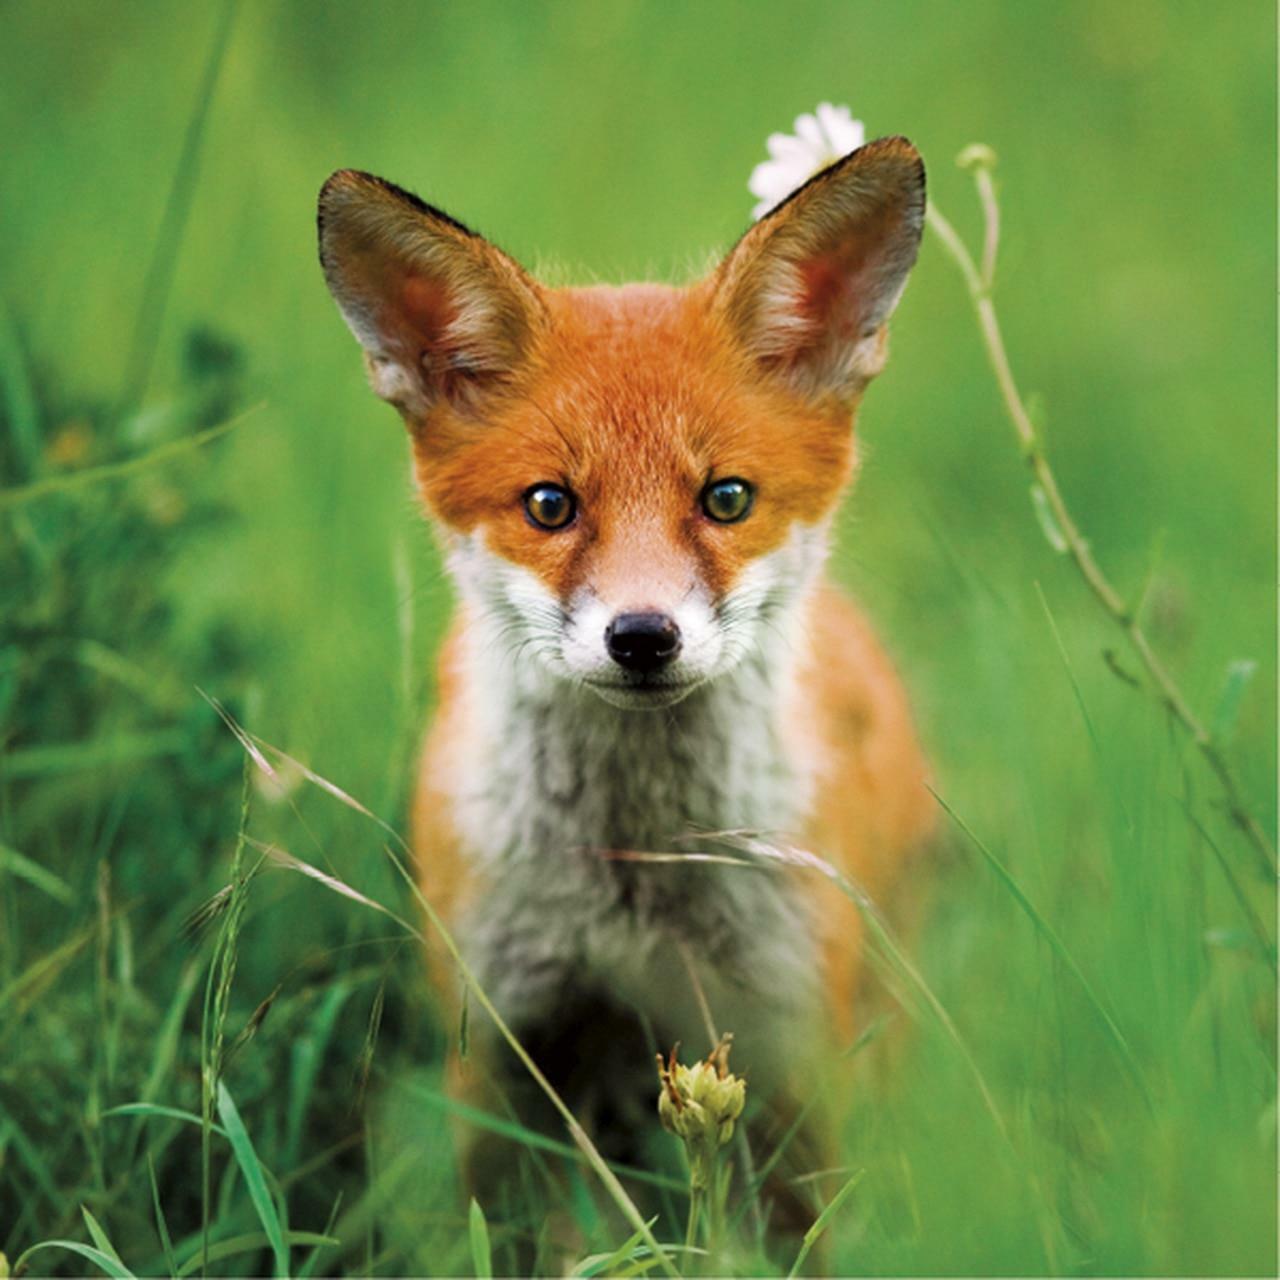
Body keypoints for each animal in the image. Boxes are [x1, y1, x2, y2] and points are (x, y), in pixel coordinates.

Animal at [316, 136, 934, 1232]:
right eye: (549, 505)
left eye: (725, 498)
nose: (642, 637)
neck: (632, 884)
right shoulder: (504, 1041)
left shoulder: (790, 1050)